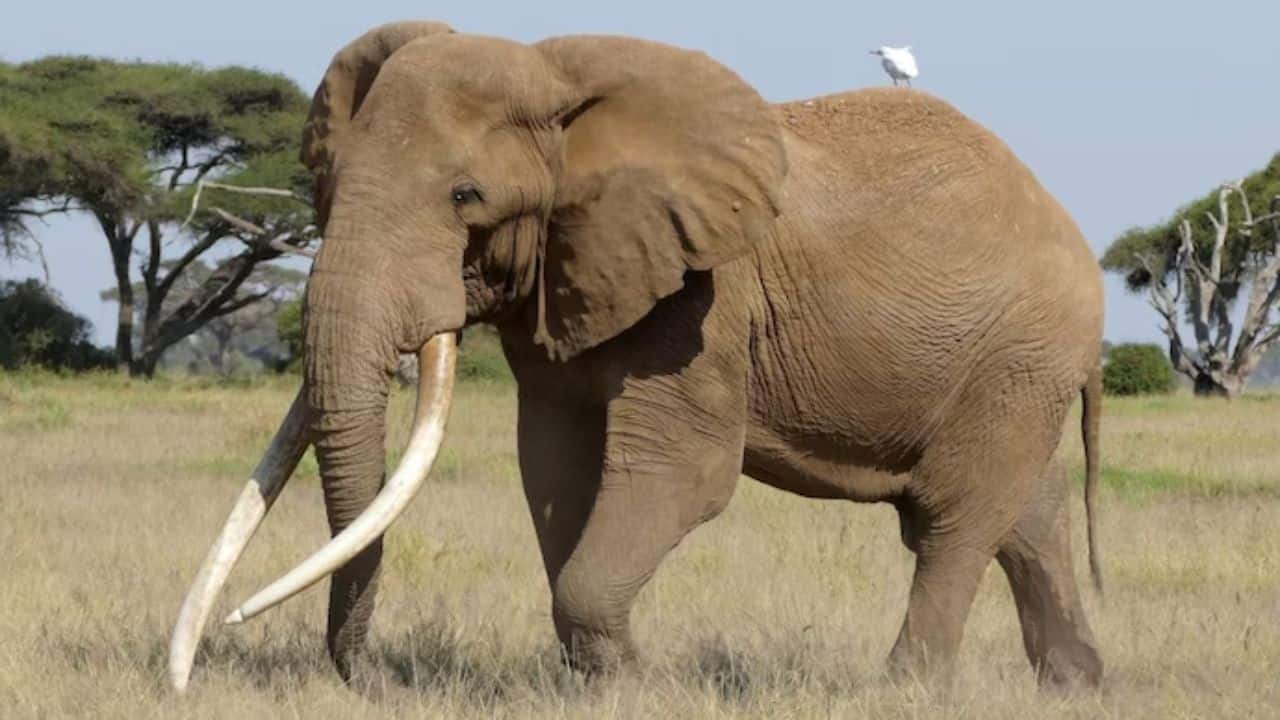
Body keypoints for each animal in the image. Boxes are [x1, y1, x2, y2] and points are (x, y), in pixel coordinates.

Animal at [169, 21, 1106, 692]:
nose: (366, 681)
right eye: (325, 189)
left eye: (466, 196)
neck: (556, 83)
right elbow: (556, 467)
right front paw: (602, 683)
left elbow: (680, 471)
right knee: (1027, 514)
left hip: (1021, 352)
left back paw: (904, 691)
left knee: (954, 518)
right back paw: (1076, 687)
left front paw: (635, 685)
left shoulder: (706, 296)